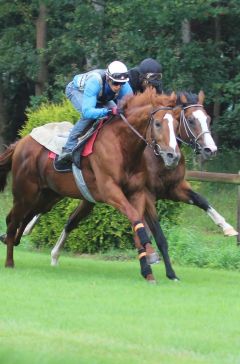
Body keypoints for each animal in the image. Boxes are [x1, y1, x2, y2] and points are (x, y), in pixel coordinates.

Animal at [0, 88, 180, 282]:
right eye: (157, 124)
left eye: (177, 124)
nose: (173, 156)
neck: (122, 146)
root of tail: (21, 142)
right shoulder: (110, 191)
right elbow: (135, 218)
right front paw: (150, 258)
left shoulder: (137, 192)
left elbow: (137, 221)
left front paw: (148, 271)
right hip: (25, 193)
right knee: (12, 220)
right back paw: (9, 261)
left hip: (46, 196)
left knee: (22, 217)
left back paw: (11, 241)